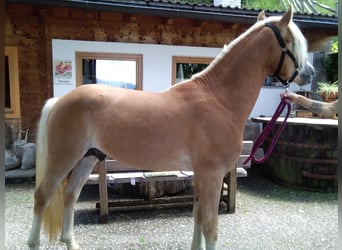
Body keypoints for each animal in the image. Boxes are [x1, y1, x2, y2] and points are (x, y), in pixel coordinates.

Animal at [28, 6, 314, 250]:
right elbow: (210, 227)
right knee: (42, 196)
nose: (310, 73)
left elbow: (197, 216)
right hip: (63, 159)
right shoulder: (212, 175)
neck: (218, 99)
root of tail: (59, 101)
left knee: (70, 195)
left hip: (88, 158)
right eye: (291, 42)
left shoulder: (201, 174)